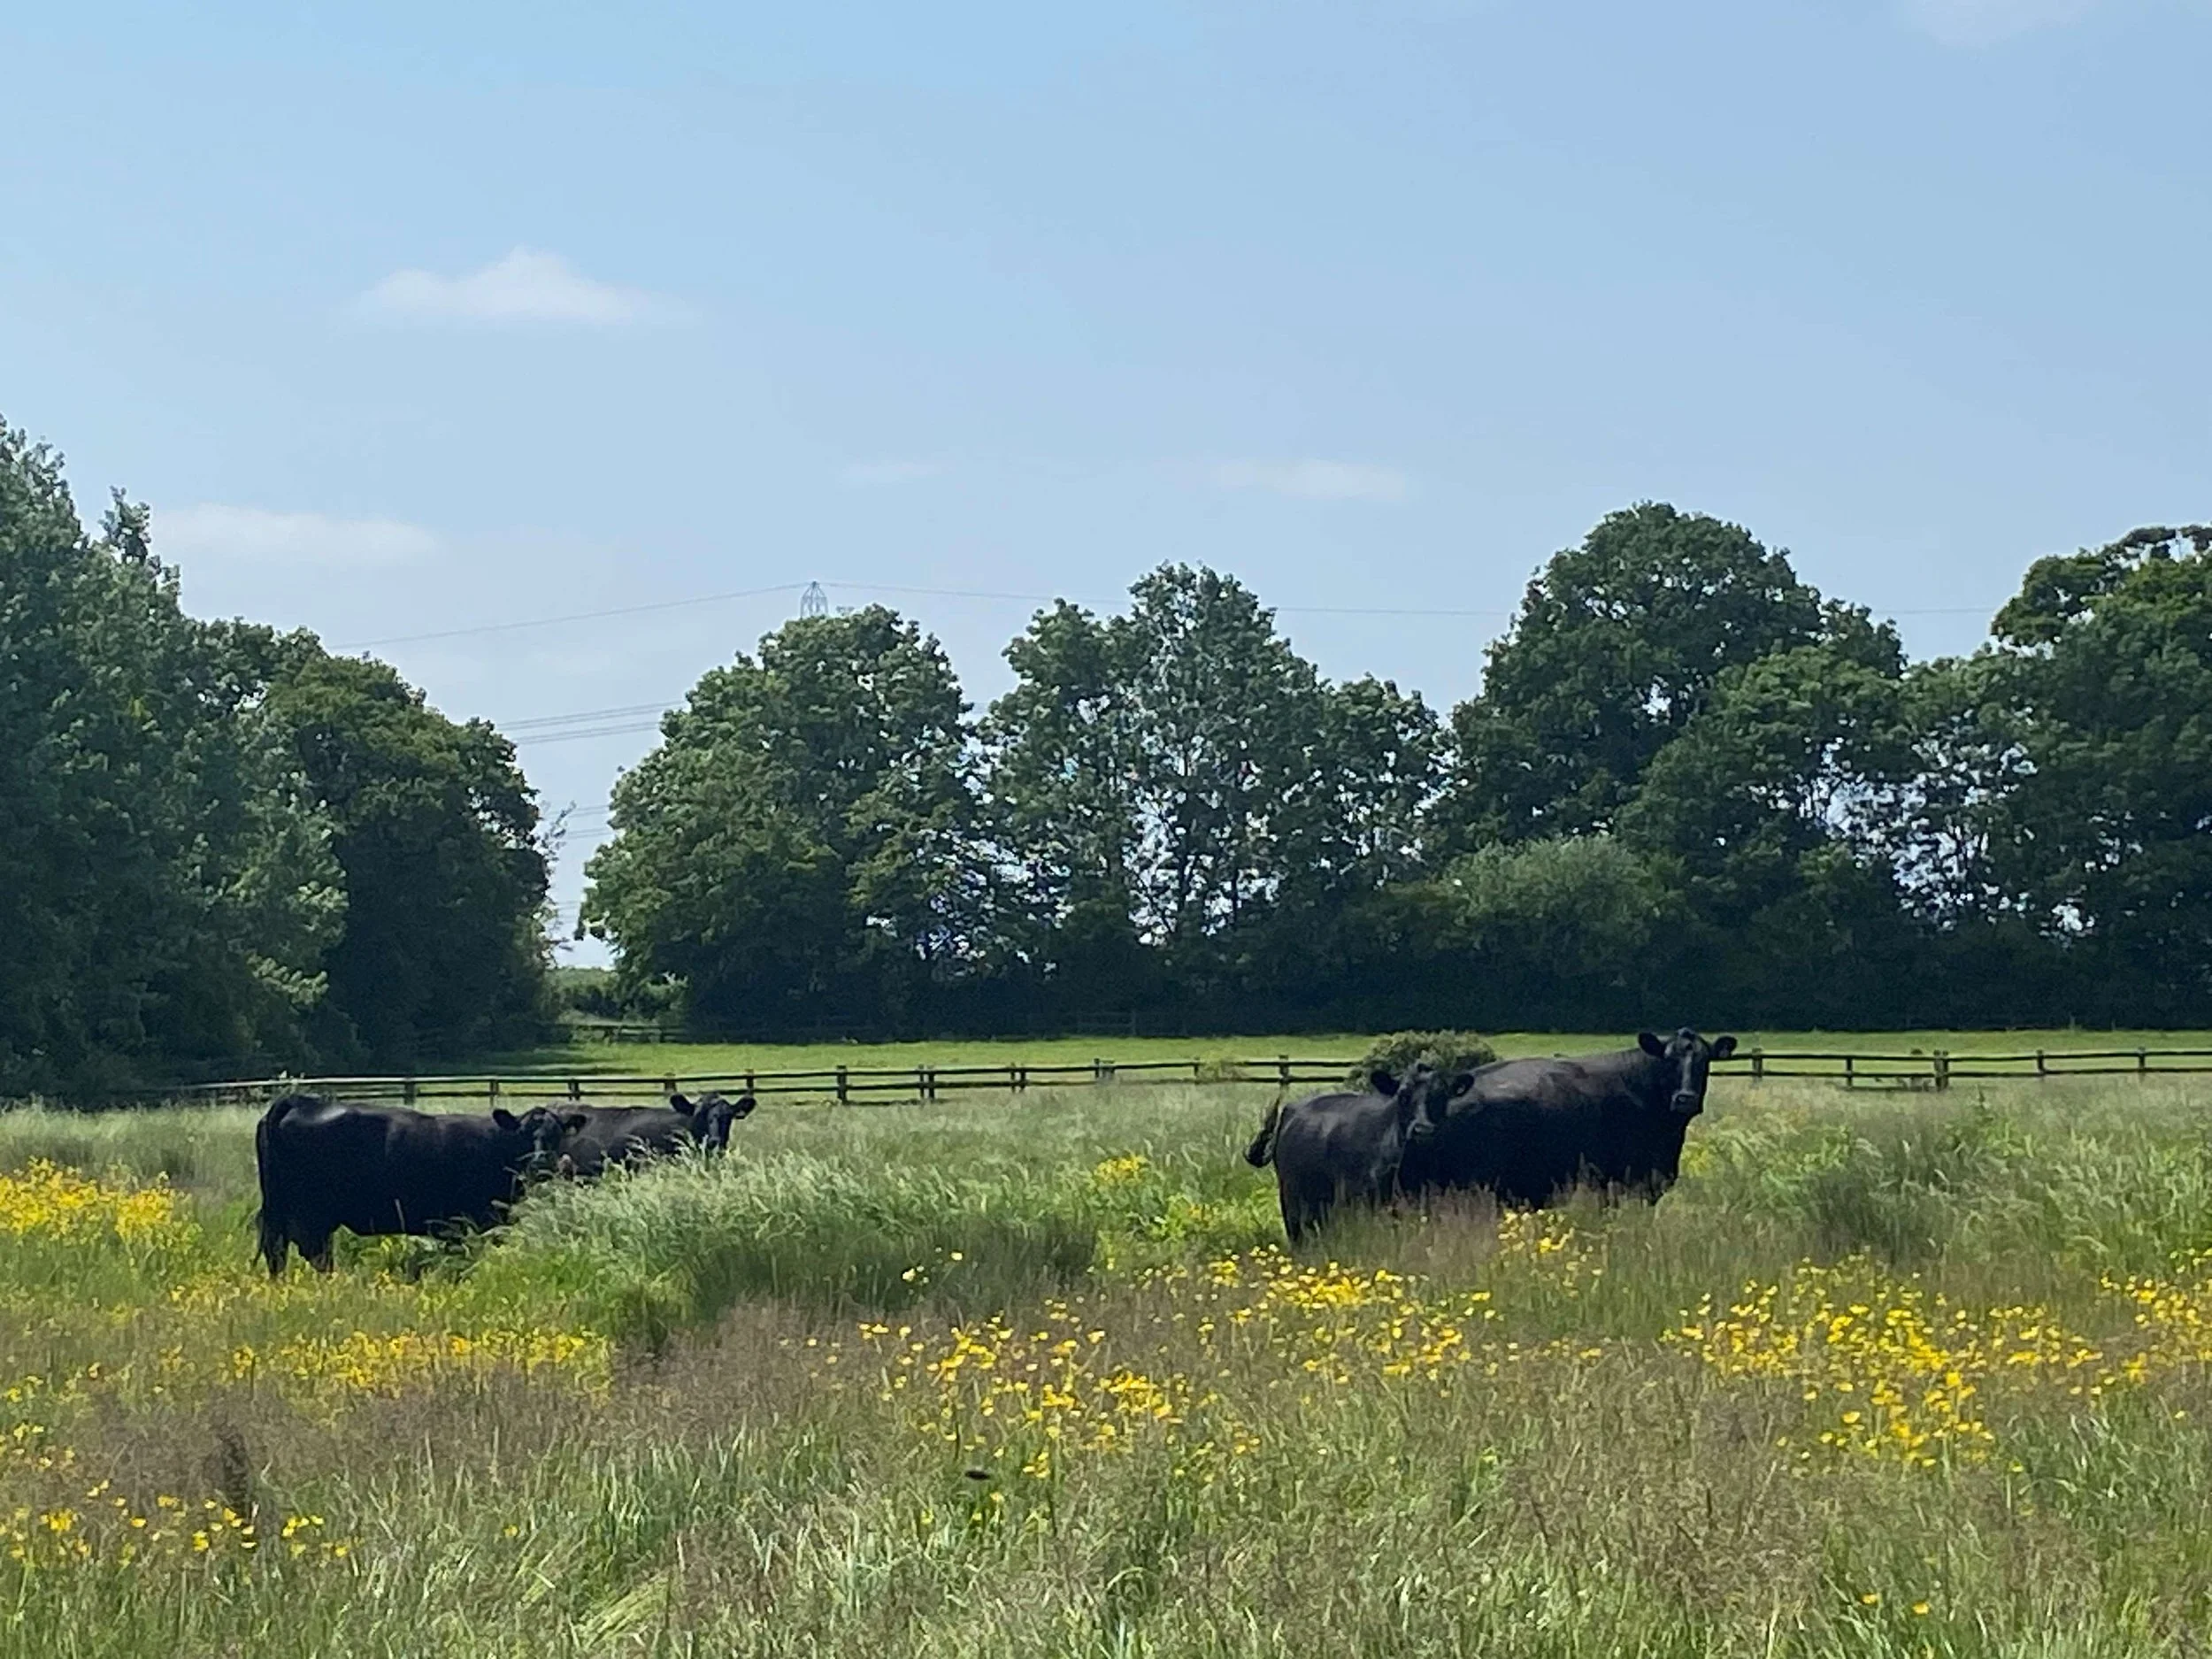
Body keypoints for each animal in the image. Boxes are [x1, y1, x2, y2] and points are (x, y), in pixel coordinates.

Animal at [254, 1094, 579, 1276]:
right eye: (523, 1132)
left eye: (557, 1133)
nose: (541, 1162)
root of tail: (299, 1100)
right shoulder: (467, 1221)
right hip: (313, 1213)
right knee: (311, 1253)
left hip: (282, 1209)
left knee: (280, 1251)